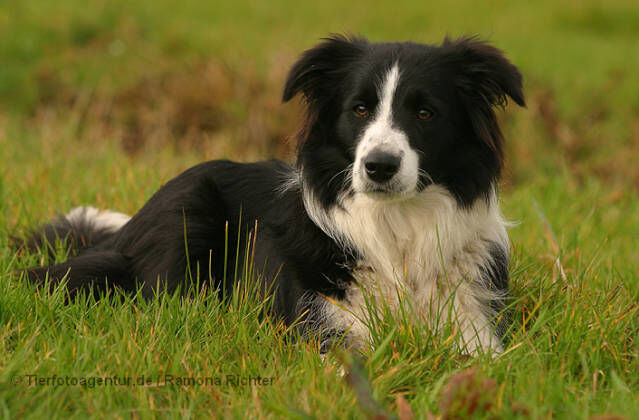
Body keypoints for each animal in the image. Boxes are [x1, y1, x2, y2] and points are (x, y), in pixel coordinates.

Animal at [22, 34, 528, 352]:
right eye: (359, 109)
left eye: (425, 113)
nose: (379, 167)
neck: (397, 225)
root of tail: (126, 230)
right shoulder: (324, 325)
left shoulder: (474, 320)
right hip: (188, 211)